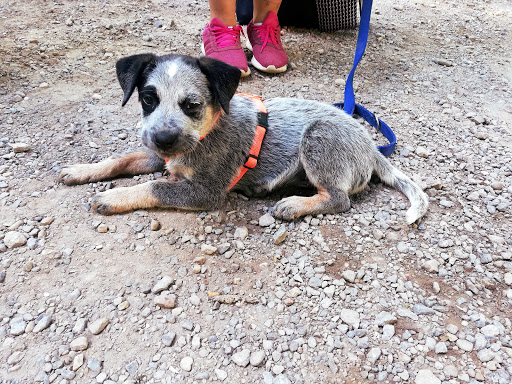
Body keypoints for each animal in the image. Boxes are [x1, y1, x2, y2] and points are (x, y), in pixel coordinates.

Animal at [59, 52, 428, 224]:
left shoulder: (204, 192)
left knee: (339, 199)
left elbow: (153, 187)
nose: (163, 138)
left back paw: (295, 205)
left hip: (318, 136)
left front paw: (115, 196)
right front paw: (81, 170)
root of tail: (370, 145)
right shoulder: (161, 153)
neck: (208, 131)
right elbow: (121, 159)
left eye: (192, 104)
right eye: (148, 99)